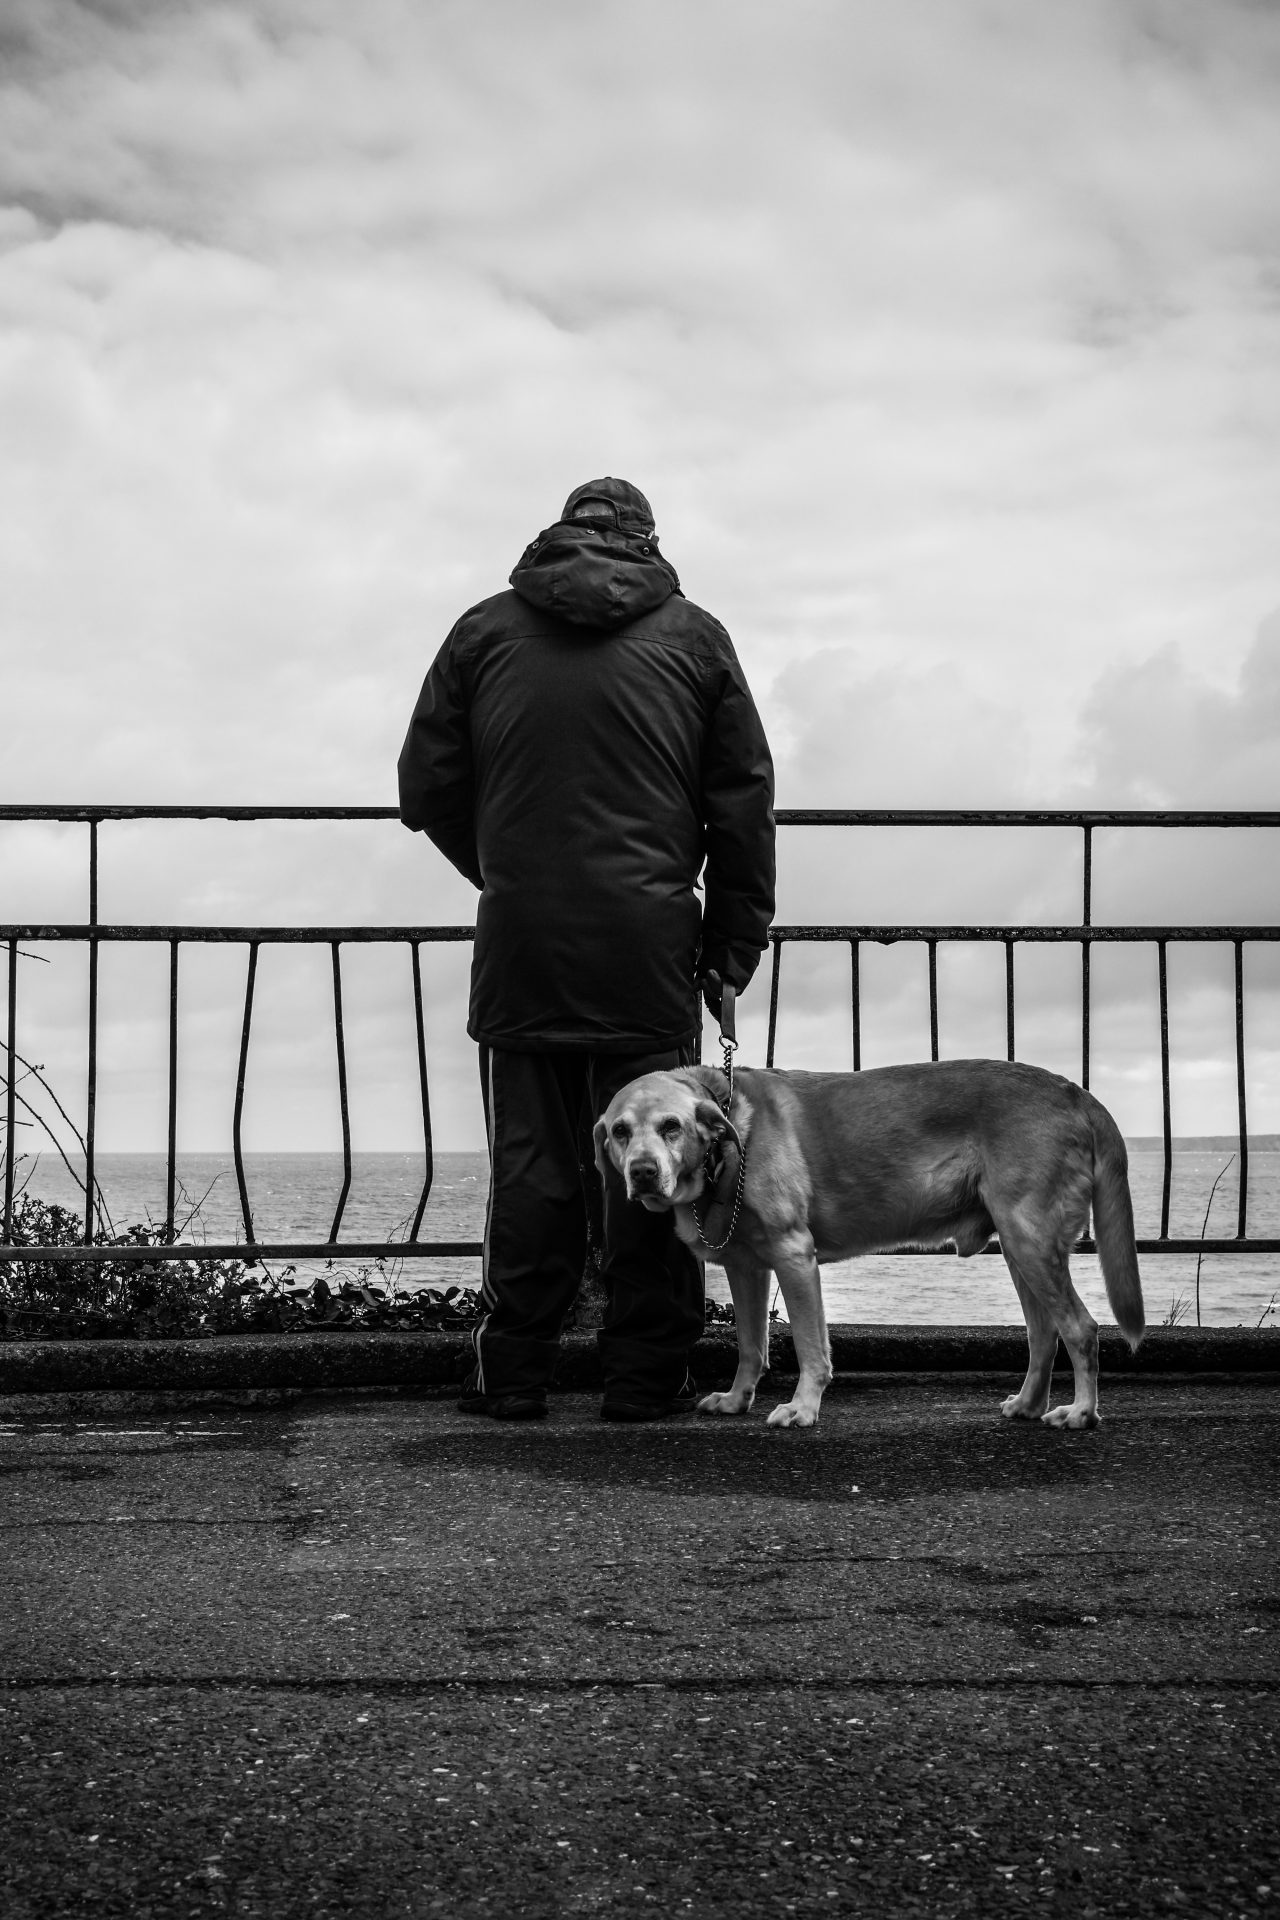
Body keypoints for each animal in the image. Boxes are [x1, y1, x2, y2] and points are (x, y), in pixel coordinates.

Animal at [595, 1058, 1144, 1430]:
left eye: (671, 1126)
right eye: (620, 1131)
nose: (642, 1172)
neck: (729, 1143)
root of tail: (1076, 1092)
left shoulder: (794, 1256)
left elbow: (810, 1347)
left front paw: (803, 1407)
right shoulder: (746, 1268)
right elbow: (751, 1345)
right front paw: (736, 1399)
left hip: (1030, 1239)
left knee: (1081, 1328)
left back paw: (1082, 1412)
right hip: (1018, 1247)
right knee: (1043, 1334)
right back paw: (1029, 1405)